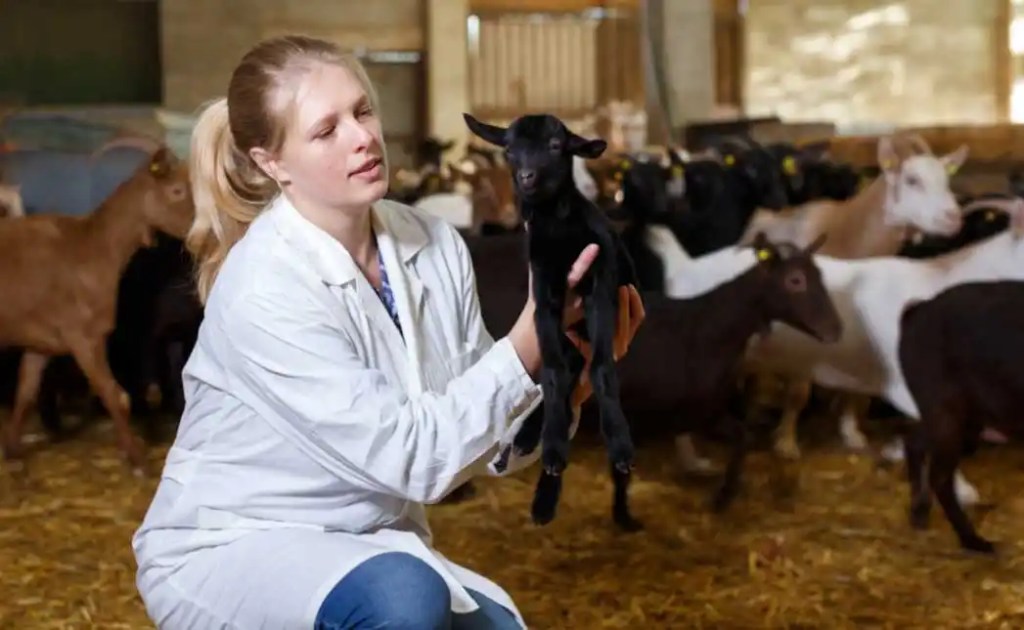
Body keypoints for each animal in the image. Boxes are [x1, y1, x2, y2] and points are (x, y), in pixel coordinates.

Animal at [0, 145, 193, 471]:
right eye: (177, 190)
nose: (204, 227)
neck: (95, 247)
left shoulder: (42, 344)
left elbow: (26, 393)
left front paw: (12, 451)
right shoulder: (83, 338)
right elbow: (117, 397)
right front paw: (137, 459)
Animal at [464, 111, 638, 528]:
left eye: (557, 146)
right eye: (509, 149)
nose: (527, 177)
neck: (559, 227)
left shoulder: (600, 283)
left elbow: (603, 369)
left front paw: (620, 444)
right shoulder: (544, 292)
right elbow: (554, 374)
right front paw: (555, 449)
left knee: (577, 366)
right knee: (565, 367)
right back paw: (536, 453)